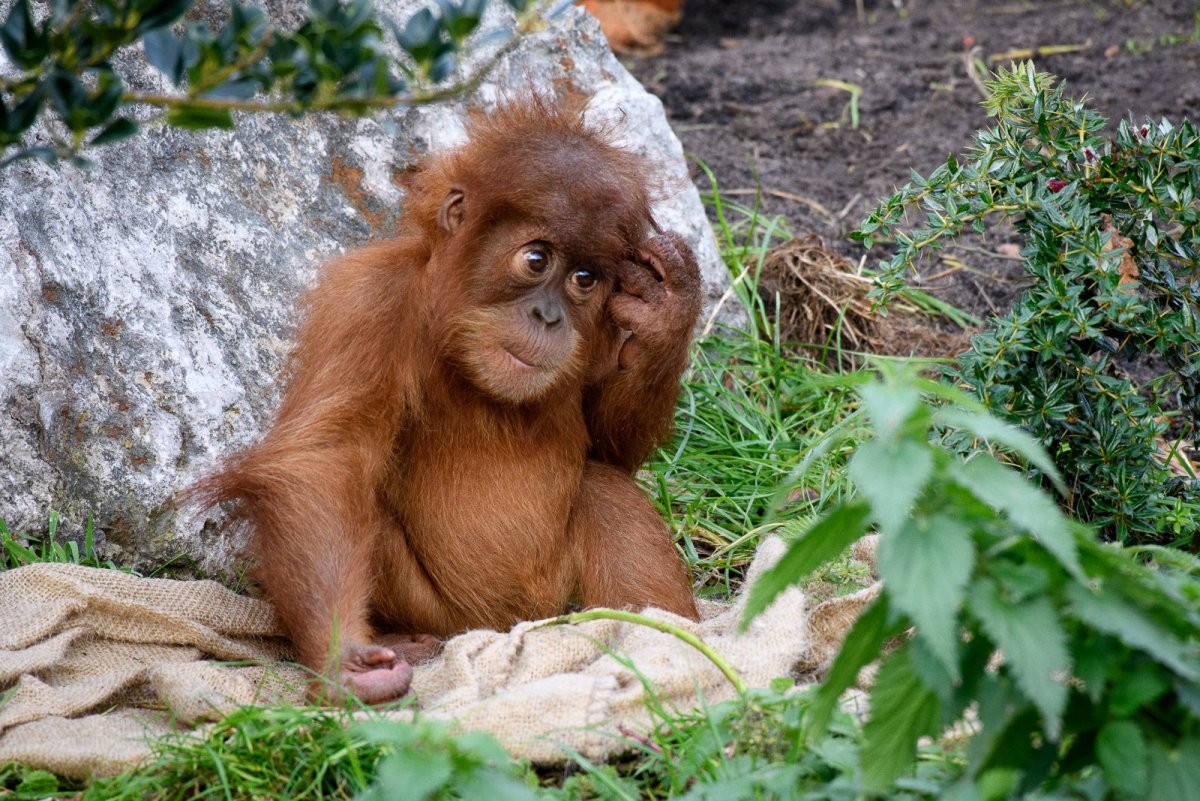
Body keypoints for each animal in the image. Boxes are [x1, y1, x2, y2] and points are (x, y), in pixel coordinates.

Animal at [195, 98, 702, 703]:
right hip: (448, 615)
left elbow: (610, 451)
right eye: (536, 260)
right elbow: (324, 459)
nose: (548, 316)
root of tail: (509, 625)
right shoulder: (369, 303)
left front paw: (668, 308)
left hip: (549, 602)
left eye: (584, 278)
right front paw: (346, 661)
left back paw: (666, 642)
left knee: (606, 489)